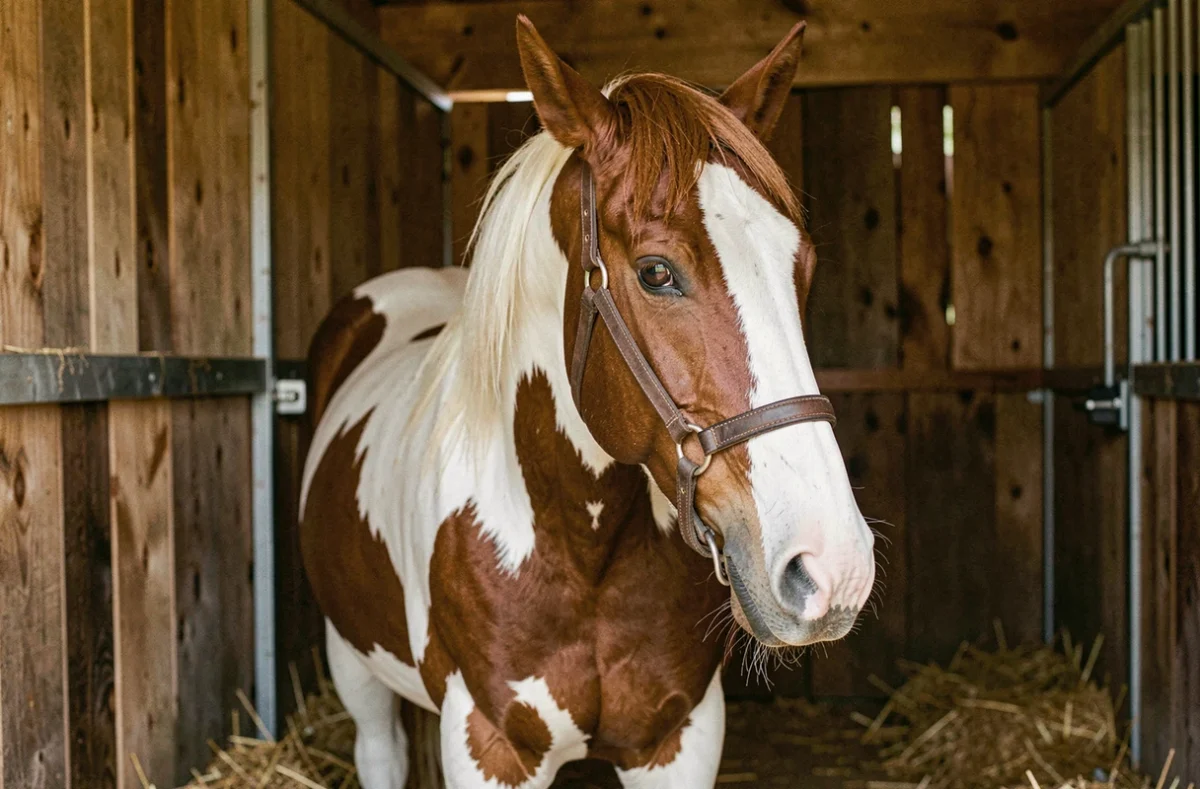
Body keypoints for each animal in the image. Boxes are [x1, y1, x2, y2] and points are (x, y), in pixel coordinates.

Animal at [300, 16, 876, 789]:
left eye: (802, 267)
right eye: (656, 272)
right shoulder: (487, 746)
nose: (832, 564)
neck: (580, 544)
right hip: (353, 662)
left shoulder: (678, 740)